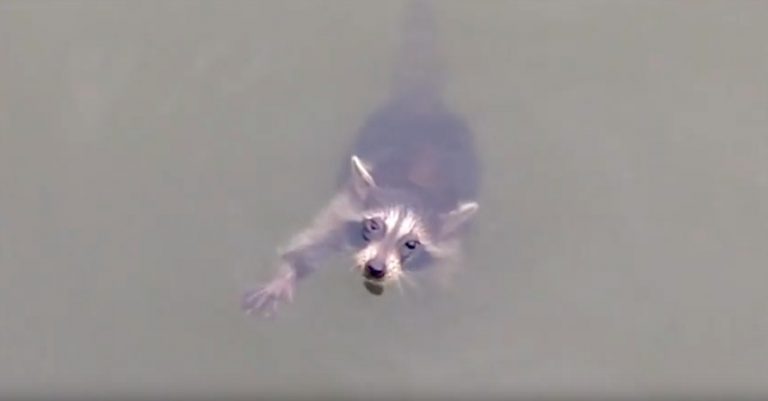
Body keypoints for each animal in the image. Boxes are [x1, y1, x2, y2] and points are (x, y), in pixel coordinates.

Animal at [242, 0, 479, 317]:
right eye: (373, 225)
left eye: (412, 244)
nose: (375, 268)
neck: (414, 186)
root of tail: (423, 104)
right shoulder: (345, 206)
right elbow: (310, 243)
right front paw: (286, 274)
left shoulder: (448, 249)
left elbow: (442, 281)